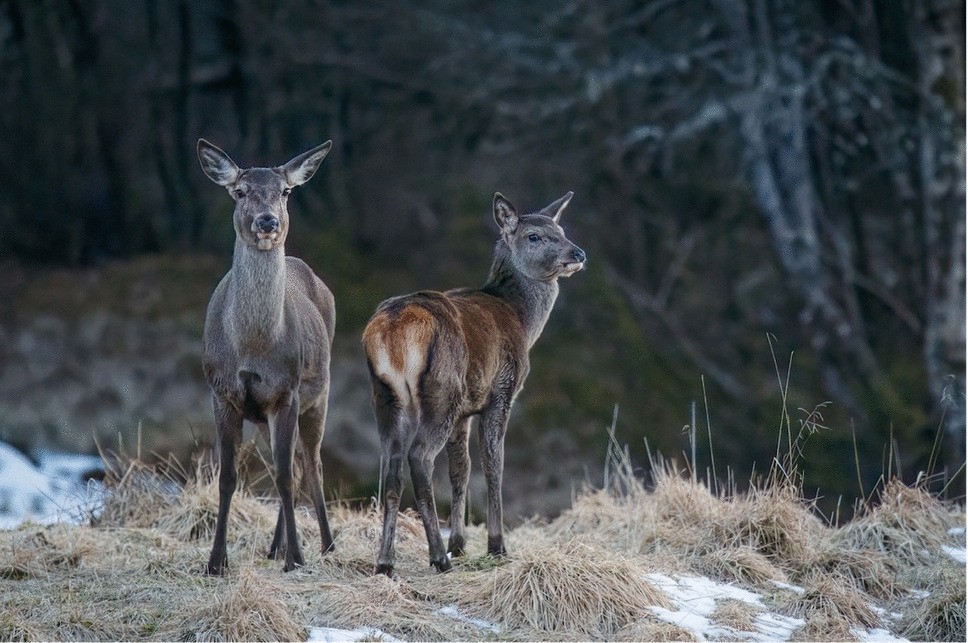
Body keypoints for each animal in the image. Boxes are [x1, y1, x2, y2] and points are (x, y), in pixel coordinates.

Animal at [196, 138, 336, 574]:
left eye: (286, 191)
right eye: (240, 191)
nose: (268, 222)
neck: (253, 347)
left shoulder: (285, 392)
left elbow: (286, 477)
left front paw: (296, 559)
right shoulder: (222, 392)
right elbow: (228, 477)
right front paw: (216, 561)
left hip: (320, 395)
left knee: (310, 465)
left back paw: (325, 545)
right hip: (262, 416)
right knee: (291, 463)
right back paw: (275, 547)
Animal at [362, 191, 586, 576]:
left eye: (561, 229)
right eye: (534, 236)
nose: (578, 254)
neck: (522, 320)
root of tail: (391, 329)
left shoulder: (466, 409)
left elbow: (460, 470)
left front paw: (460, 542)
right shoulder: (501, 391)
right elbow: (493, 465)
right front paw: (496, 545)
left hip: (386, 396)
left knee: (391, 470)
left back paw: (385, 562)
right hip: (442, 390)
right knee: (420, 458)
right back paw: (437, 558)